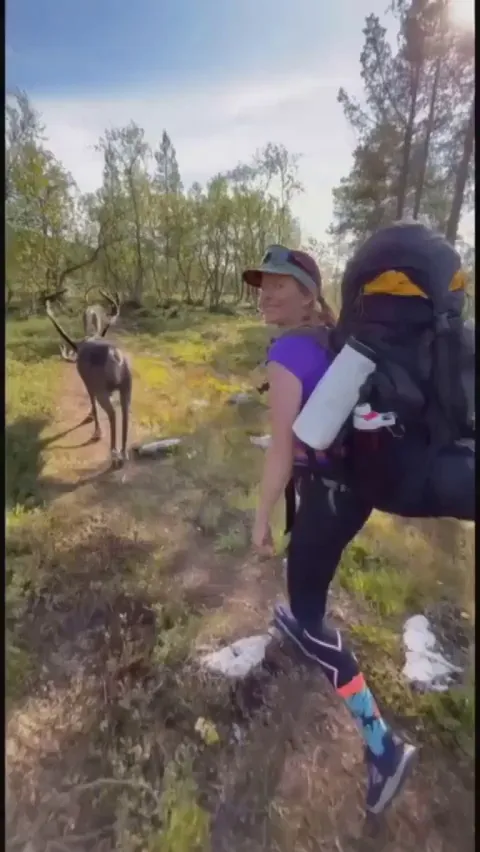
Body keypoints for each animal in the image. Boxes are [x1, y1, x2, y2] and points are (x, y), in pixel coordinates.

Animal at [45, 292, 132, 469]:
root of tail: (115, 357)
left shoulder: (89, 385)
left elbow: (93, 406)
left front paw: (95, 428)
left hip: (101, 389)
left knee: (112, 413)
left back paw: (114, 453)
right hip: (126, 386)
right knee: (125, 412)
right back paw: (124, 452)